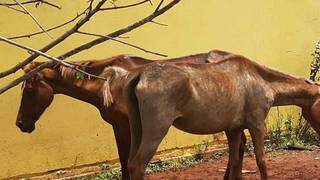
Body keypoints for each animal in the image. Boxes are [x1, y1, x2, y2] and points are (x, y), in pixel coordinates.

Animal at [101, 54, 320, 179]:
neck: (262, 80)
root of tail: (138, 75)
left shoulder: (234, 129)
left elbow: (234, 163)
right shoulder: (257, 125)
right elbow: (261, 161)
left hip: (136, 127)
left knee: (130, 163)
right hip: (157, 129)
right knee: (138, 165)